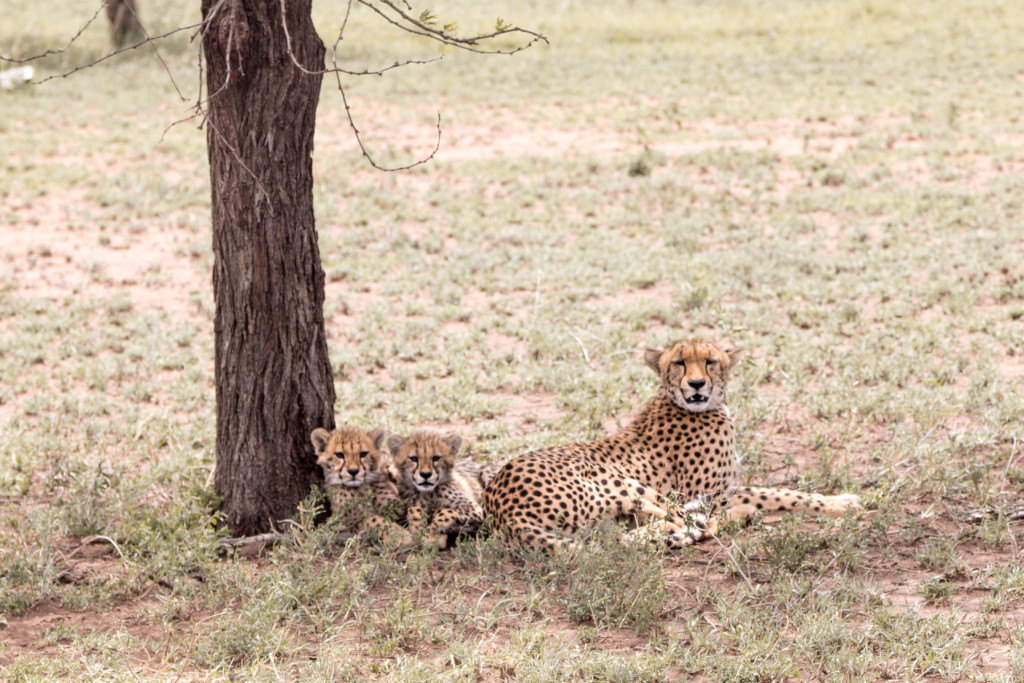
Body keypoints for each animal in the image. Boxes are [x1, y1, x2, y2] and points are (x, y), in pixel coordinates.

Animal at [483, 339, 860, 552]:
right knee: (689, 525)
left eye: (710, 361)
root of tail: (503, 512)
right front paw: (844, 503)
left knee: (630, 535)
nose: (696, 384)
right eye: (679, 363)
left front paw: (839, 501)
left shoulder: (716, 491)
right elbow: (770, 495)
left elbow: (774, 492)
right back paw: (735, 517)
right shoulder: (701, 493)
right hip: (626, 484)